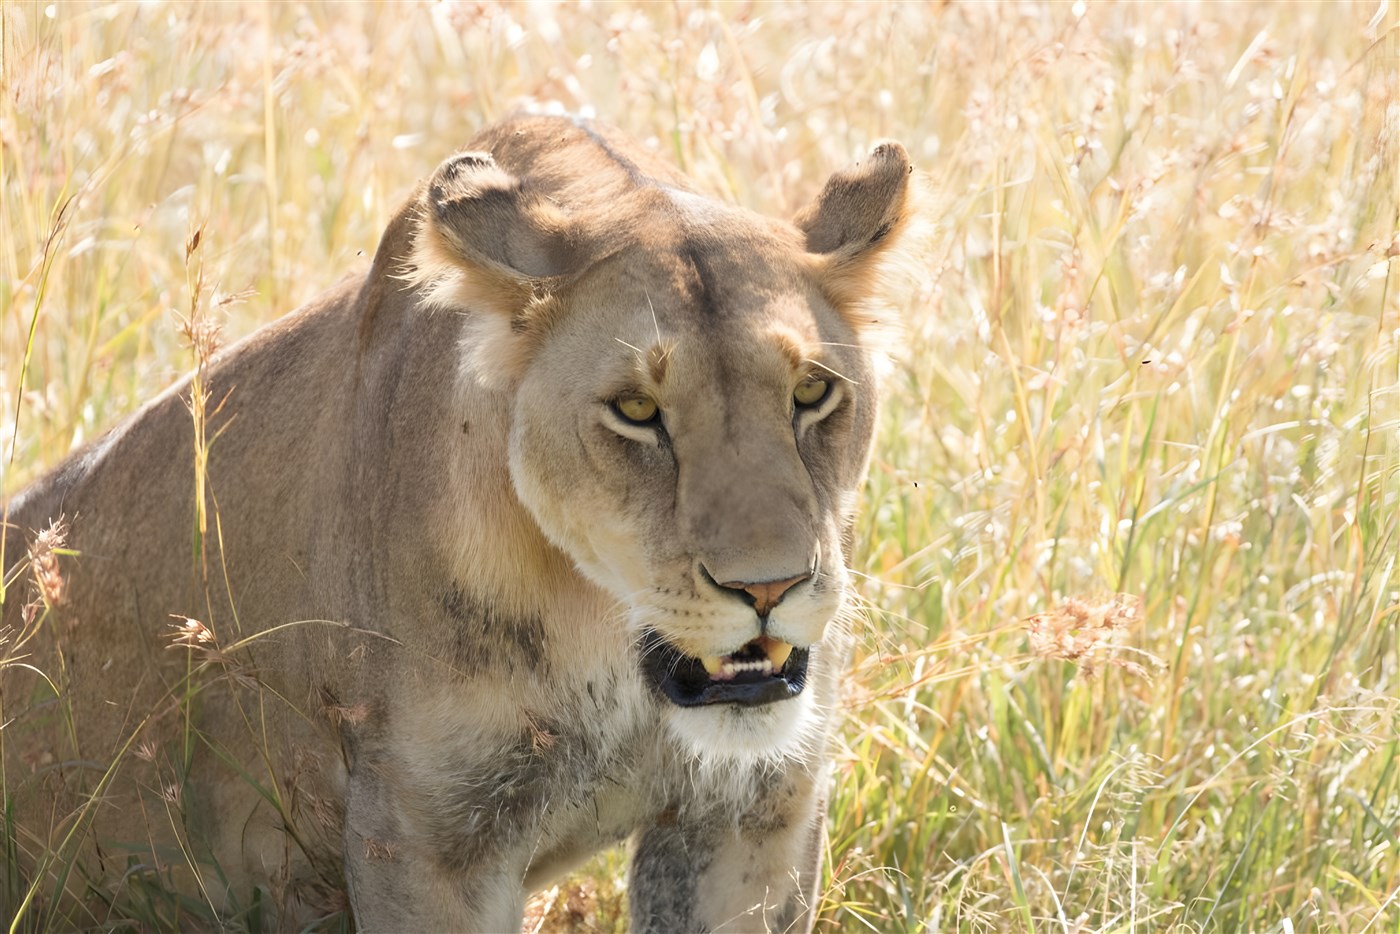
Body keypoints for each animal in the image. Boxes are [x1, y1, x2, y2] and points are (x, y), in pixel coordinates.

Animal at [0, 114, 912, 931]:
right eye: (636, 411)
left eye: (811, 393)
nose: (770, 587)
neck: (607, 638)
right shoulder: (424, 842)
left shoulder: (756, 814)